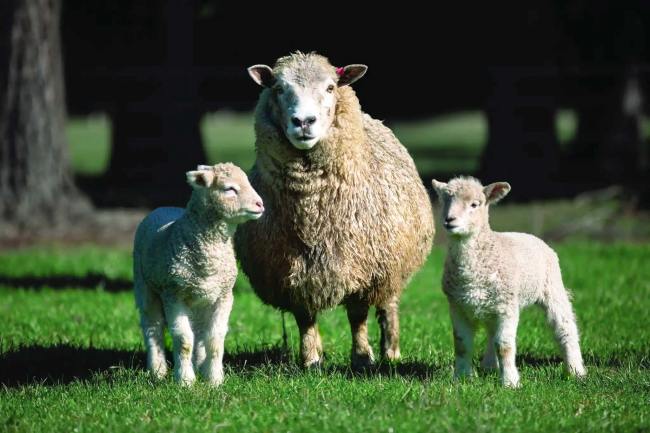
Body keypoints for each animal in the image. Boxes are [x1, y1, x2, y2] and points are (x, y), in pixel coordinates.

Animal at [132, 163, 264, 384]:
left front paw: (214, 379)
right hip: (145, 287)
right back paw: (157, 370)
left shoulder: (224, 296)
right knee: (153, 327)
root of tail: (163, 207)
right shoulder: (173, 294)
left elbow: (215, 339)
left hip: (202, 300)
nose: (260, 204)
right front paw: (185, 381)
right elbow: (184, 340)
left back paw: (200, 367)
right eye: (229, 189)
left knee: (201, 333)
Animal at [235, 51, 432, 368]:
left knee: (388, 306)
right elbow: (305, 318)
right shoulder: (293, 272)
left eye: (330, 87)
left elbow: (357, 316)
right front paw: (310, 360)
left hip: (392, 264)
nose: (303, 121)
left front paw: (362, 358)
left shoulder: (363, 267)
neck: (312, 212)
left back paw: (391, 352)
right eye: (278, 88)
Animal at [430, 176, 584, 388]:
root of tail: (530, 235)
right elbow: (461, 344)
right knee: (491, 333)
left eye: (475, 204)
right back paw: (489, 366)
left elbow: (504, 345)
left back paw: (576, 371)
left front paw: (510, 382)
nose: (449, 220)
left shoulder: (507, 306)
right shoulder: (457, 306)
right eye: (445, 201)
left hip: (552, 286)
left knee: (565, 326)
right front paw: (461, 378)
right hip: (489, 305)